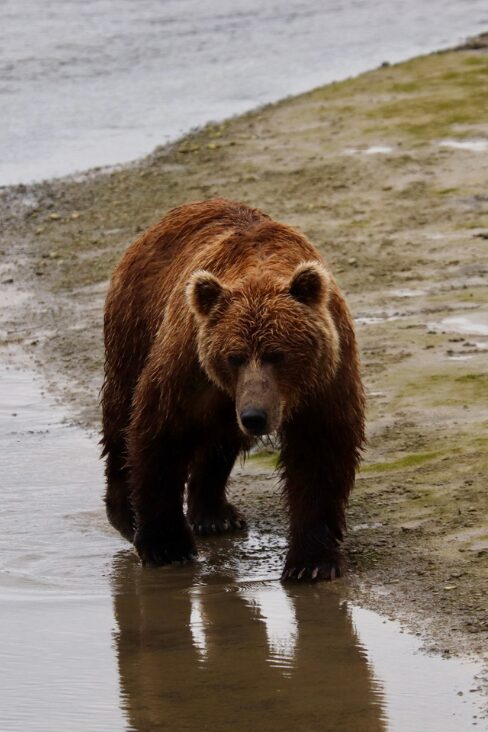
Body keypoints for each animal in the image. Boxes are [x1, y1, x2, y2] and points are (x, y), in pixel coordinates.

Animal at [101, 199, 365, 581]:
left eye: (278, 354)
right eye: (234, 356)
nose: (255, 416)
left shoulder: (326, 376)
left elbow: (320, 452)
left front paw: (312, 562)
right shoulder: (188, 365)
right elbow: (160, 434)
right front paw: (166, 546)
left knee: (220, 440)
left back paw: (215, 515)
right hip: (135, 325)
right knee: (120, 410)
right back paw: (126, 513)